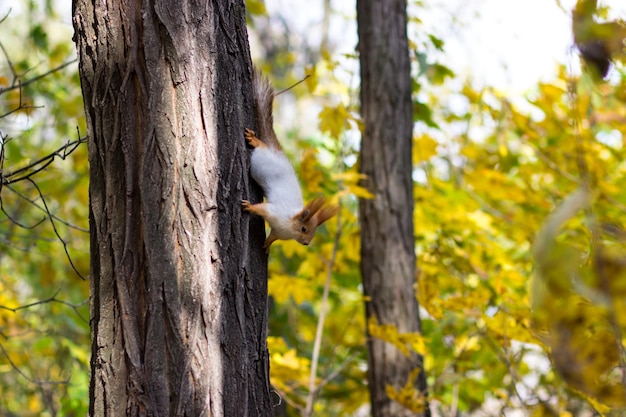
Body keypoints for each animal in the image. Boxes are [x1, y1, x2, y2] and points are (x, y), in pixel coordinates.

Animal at [241, 68, 336, 252]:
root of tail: (277, 152)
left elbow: (273, 236)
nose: (306, 243)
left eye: (312, 232)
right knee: (262, 146)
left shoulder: (278, 231)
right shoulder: (275, 212)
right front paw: (249, 206)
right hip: (261, 159)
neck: (288, 228)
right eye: (304, 228)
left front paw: (267, 245)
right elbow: (261, 209)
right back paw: (255, 140)